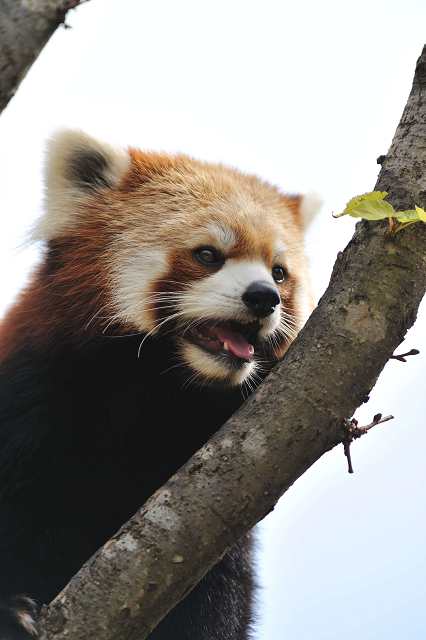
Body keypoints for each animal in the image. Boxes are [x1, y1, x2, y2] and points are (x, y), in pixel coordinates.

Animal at [0, 130, 322, 640]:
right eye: (208, 255)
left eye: (279, 272)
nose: (264, 298)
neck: (161, 392)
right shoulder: (34, 402)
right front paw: (11, 611)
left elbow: (218, 597)